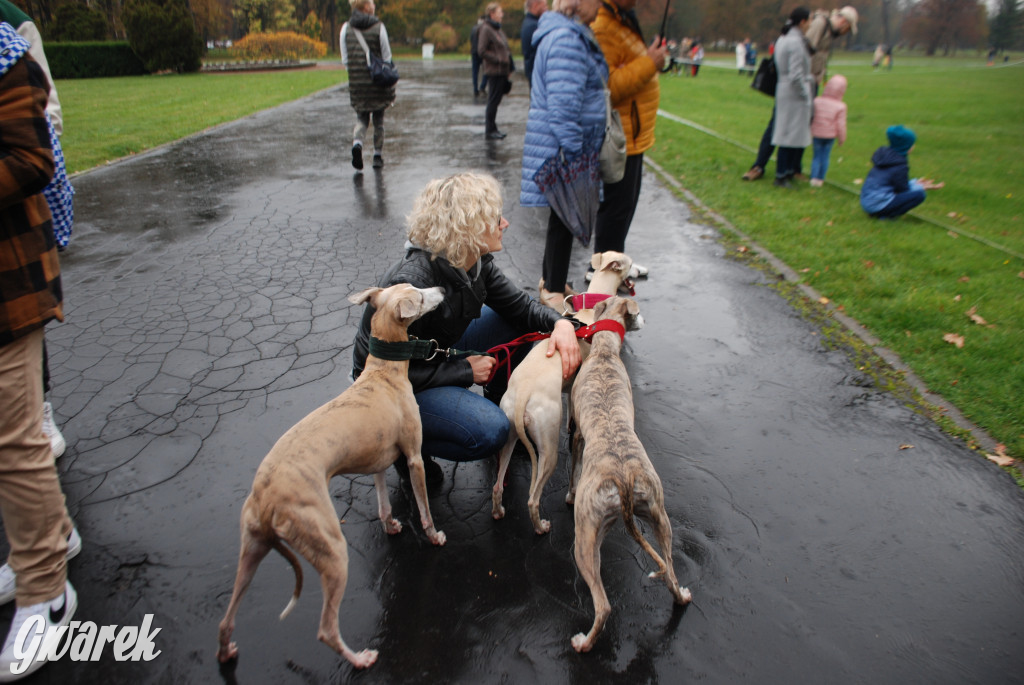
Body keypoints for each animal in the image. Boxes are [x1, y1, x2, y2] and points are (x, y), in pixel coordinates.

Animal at [218, 282, 446, 667]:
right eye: (419, 294)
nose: (443, 287)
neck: (383, 373)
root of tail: (266, 501)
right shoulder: (413, 458)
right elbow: (425, 508)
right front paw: (434, 537)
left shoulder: (379, 462)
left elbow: (384, 503)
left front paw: (390, 525)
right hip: (333, 551)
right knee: (325, 629)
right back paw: (360, 659)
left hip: (252, 549)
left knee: (225, 619)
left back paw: (226, 651)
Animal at [489, 250, 630, 532]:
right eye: (629, 262)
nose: (640, 270)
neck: (588, 317)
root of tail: (523, 394)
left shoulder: (571, 386)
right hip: (549, 450)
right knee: (532, 499)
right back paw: (541, 527)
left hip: (509, 434)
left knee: (497, 486)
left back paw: (498, 511)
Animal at [565, 296, 692, 651]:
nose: (645, 321)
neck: (605, 353)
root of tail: (623, 479)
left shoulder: (577, 435)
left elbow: (572, 469)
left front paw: (569, 493)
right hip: (659, 515)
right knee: (671, 573)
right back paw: (682, 596)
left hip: (585, 538)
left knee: (603, 605)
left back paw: (583, 643)